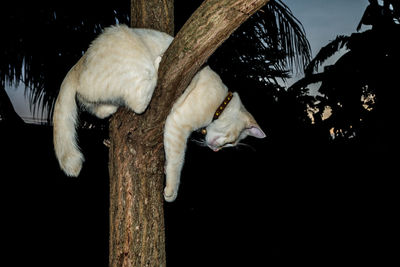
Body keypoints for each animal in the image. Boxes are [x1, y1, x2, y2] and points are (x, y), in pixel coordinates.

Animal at [53, 25, 266, 202]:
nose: (216, 151)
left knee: (92, 100)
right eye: (231, 142)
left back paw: (110, 107)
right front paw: (171, 191)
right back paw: (157, 63)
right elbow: (177, 162)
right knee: (132, 99)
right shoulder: (177, 124)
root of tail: (82, 59)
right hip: (134, 57)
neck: (220, 102)